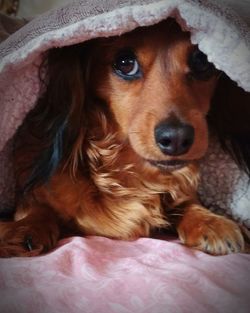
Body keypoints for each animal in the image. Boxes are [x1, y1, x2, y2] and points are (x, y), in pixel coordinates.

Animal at [0, 17, 249, 256]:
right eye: (125, 63)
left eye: (202, 61)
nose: (177, 139)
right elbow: (39, 210)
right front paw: (24, 229)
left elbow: (186, 204)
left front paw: (212, 222)